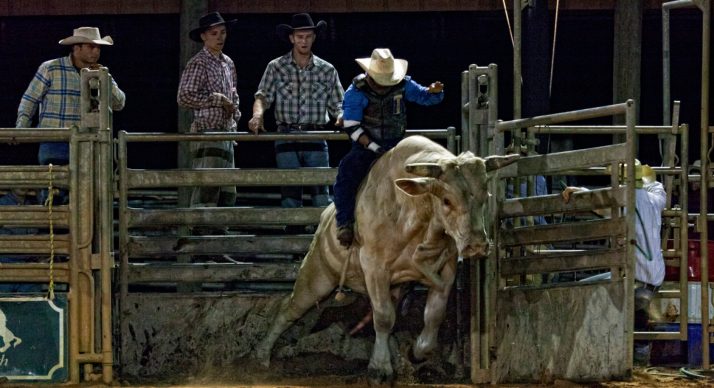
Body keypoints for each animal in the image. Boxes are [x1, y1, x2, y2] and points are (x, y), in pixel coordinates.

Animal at [256, 136, 516, 384]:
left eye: (485, 197)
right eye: (446, 201)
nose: (477, 245)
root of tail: (324, 218)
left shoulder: (447, 270)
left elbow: (433, 316)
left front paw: (415, 352)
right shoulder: (375, 268)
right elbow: (383, 318)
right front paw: (379, 369)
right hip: (316, 278)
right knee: (289, 308)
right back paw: (262, 356)